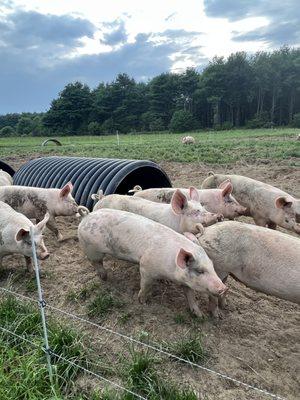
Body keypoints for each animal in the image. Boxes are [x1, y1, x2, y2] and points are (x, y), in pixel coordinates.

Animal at [77, 208, 227, 318]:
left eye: (212, 266)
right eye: (200, 271)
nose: (223, 288)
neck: (172, 269)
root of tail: (87, 216)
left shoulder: (186, 281)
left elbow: (190, 295)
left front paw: (200, 315)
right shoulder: (146, 267)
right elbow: (146, 285)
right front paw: (142, 302)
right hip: (91, 247)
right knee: (95, 262)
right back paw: (105, 277)